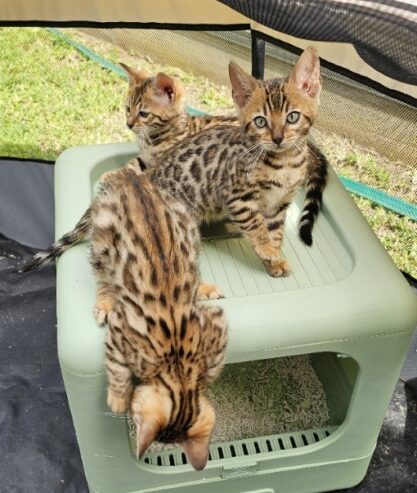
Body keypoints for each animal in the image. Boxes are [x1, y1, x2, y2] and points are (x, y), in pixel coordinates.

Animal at [90, 170, 228, 468]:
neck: (176, 366)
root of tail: (129, 176)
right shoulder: (120, 331)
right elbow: (117, 368)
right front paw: (118, 398)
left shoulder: (217, 322)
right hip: (101, 239)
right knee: (102, 277)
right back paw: (104, 301)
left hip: (186, 223)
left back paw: (203, 287)